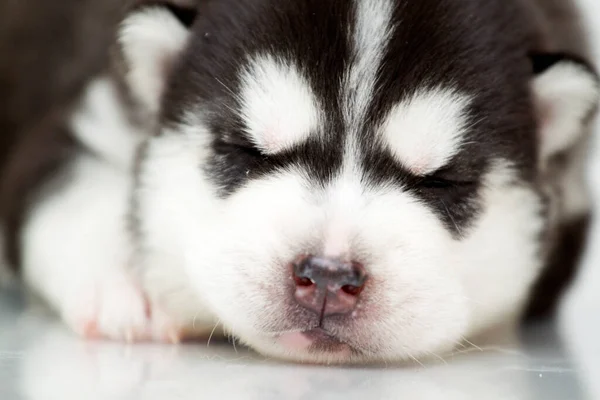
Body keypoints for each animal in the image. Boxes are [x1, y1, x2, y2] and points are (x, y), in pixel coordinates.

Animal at [5, 0, 600, 364]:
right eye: (246, 150)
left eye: (441, 181)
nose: (329, 275)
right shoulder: (83, 117)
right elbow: (73, 192)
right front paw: (133, 282)